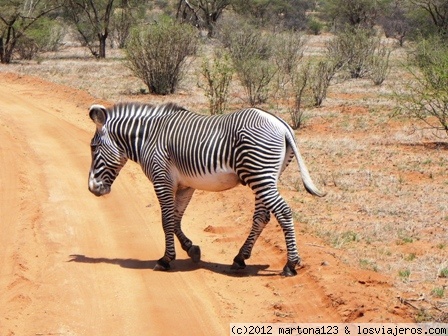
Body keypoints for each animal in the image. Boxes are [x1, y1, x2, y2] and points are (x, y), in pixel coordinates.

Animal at [87, 102, 326, 276]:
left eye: (93, 147)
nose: (92, 188)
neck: (148, 138)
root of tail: (280, 123)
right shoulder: (185, 185)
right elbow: (175, 219)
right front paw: (192, 249)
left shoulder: (162, 179)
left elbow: (166, 220)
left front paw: (165, 259)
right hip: (265, 177)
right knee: (261, 216)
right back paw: (240, 258)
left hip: (260, 174)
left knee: (283, 212)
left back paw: (291, 264)